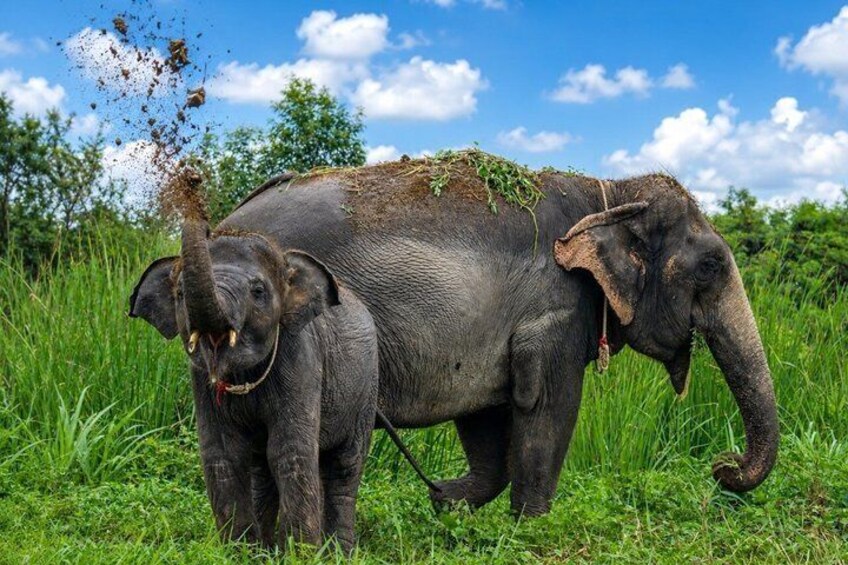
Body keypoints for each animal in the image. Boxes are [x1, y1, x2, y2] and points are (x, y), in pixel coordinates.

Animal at [129, 217, 382, 550]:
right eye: (180, 293)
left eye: (258, 291)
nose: (202, 221)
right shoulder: (201, 380)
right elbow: (224, 454)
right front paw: (238, 553)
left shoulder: (300, 361)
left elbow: (289, 451)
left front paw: (300, 553)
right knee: (261, 469)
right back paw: (267, 549)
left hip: (367, 387)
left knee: (344, 466)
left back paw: (339, 552)